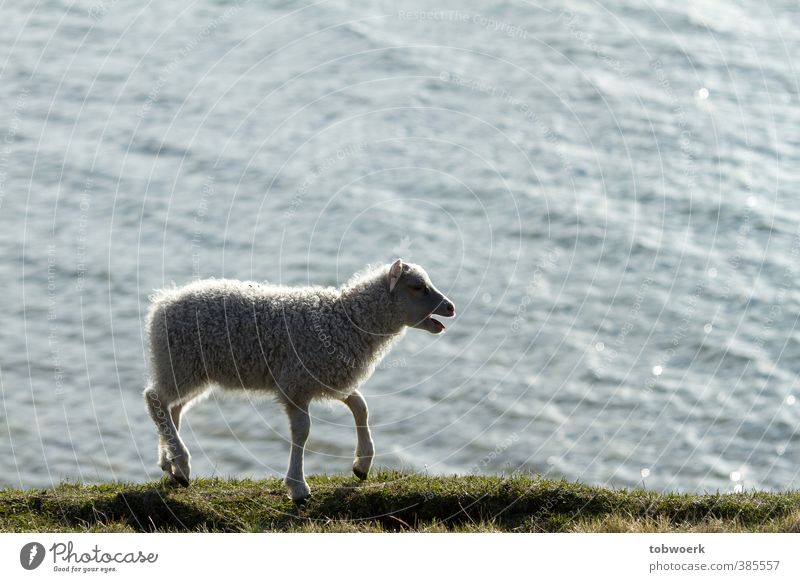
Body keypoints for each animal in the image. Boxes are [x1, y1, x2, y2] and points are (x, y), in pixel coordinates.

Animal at [144, 260, 456, 502]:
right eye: (417, 286)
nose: (451, 307)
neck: (348, 320)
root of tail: (161, 305)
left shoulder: (328, 377)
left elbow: (360, 406)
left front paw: (362, 464)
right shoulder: (296, 384)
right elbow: (303, 432)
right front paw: (298, 487)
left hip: (187, 369)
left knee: (171, 408)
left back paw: (170, 465)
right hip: (181, 364)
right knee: (154, 399)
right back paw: (182, 463)